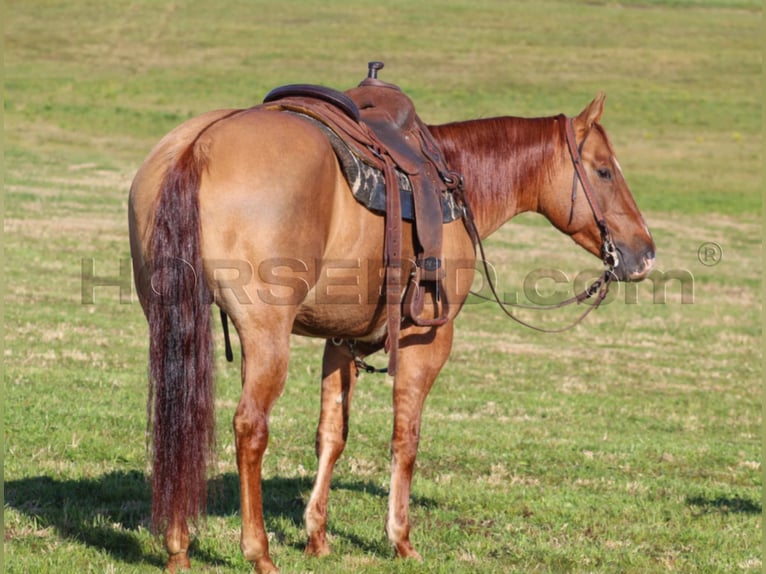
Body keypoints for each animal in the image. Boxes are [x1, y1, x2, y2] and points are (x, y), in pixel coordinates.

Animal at [130, 77, 656, 574]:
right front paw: (401, 539)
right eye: (604, 170)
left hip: (170, 323)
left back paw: (178, 547)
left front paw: (317, 537)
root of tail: (199, 146)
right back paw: (258, 552)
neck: (455, 185)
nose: (645, 253)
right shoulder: (427, 340)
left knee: (179, 416)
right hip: (266, 335)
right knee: (250, 426)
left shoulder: (341, 340)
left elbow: (331, 434)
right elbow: (406, 439)